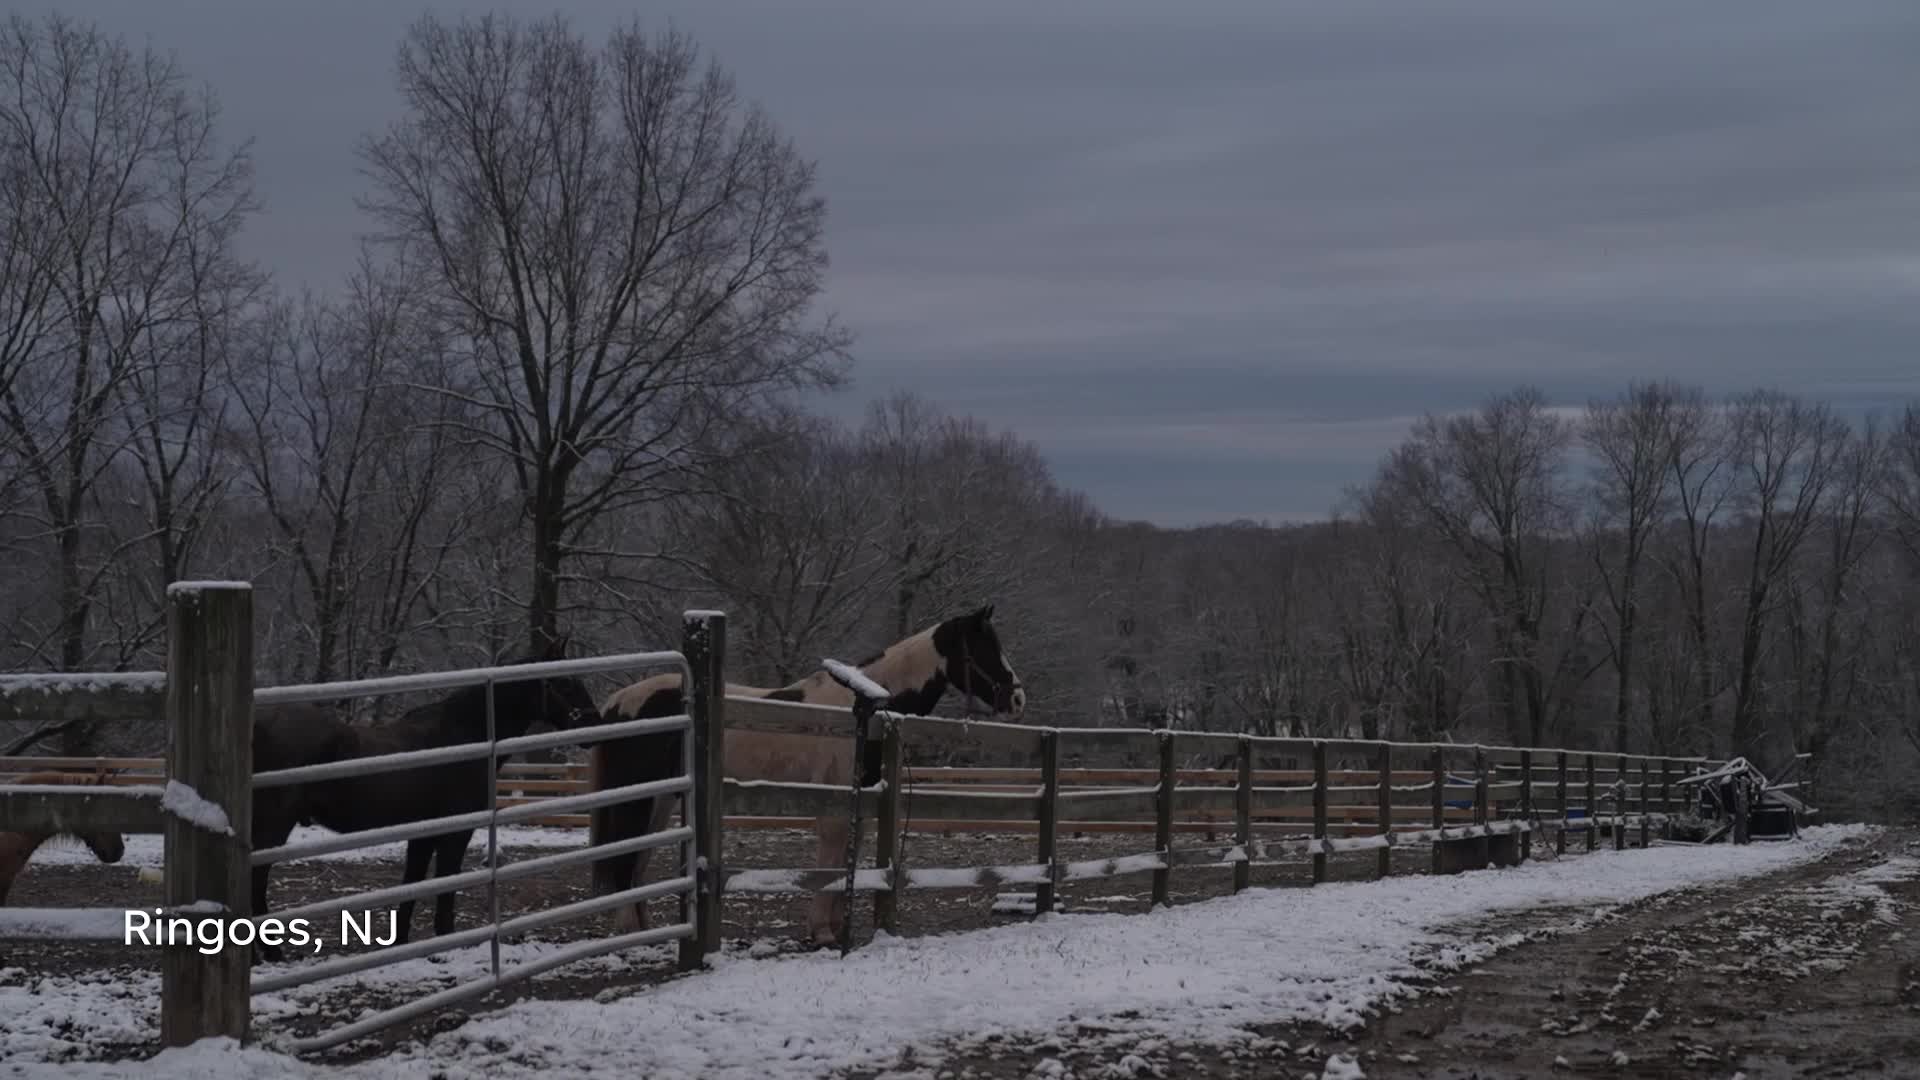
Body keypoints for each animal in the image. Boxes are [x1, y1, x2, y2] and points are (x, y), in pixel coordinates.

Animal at [251, 630, 591, 957]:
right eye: (566, 683)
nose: (595, 723)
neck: (463, 735)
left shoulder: (423, 834)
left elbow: (411, 885)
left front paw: (401, 943)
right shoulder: (455, 832)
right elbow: (446, 883)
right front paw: (446, 938)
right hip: (272, 829)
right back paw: (272, 954)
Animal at [587, 599, 1029, 945]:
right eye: (984, 646)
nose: (1017, 698)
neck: (861, 709)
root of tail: (617, 702)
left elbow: (844, 861)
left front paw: (832, 926)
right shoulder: (832, 803)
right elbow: (829, 864)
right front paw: (822, 931)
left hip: (662, 798)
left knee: (637, 860)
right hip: (640, 796)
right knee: (625, 857)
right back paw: (631, 932)